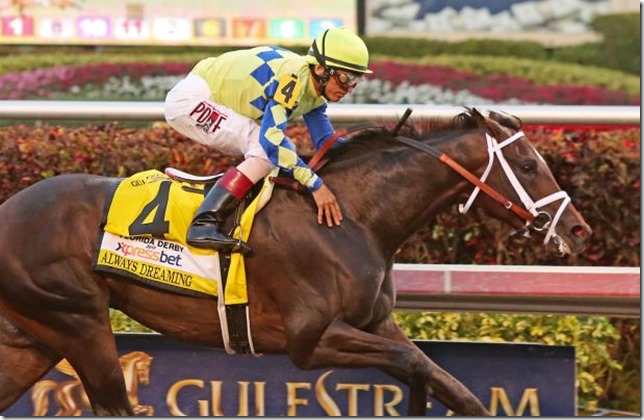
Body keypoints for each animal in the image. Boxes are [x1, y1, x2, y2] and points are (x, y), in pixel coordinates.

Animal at [0, 106, 588, 416]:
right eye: (528, 164)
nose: (578, 230)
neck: (355, 216)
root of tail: (9, 209)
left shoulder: (375, 324)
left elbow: (454, 386)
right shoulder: (311, 339)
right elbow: (416, 365)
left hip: (33, 338)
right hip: (77, 321)